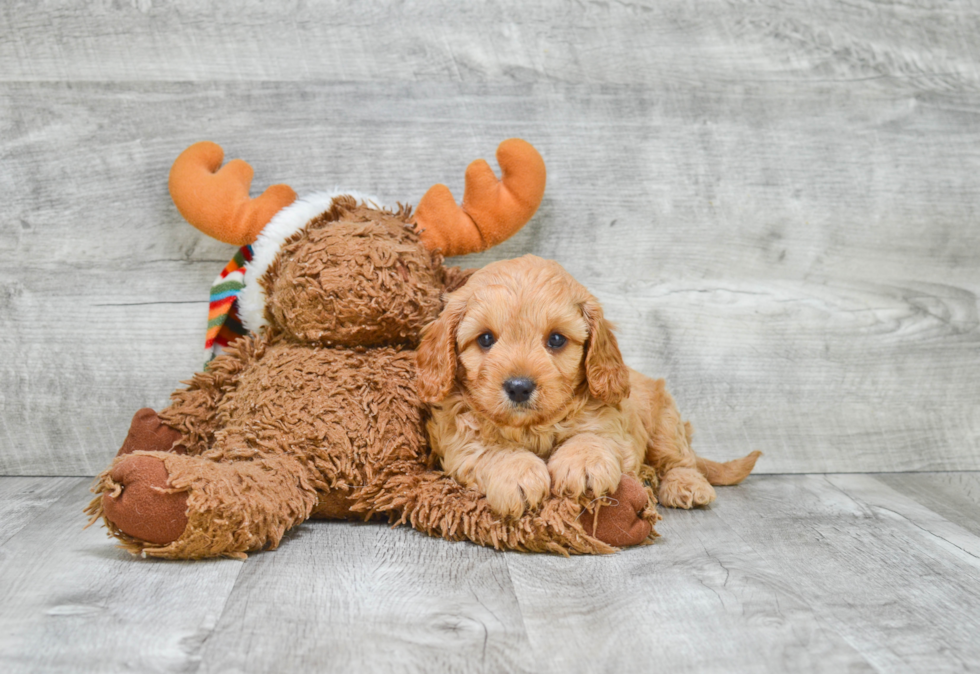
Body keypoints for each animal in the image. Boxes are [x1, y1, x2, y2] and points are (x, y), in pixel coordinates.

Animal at [414, 255, 756, 516]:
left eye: (556, 339)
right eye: (485, 339)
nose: (519, 387)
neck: (532, 428)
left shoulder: (614, 423)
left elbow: (592, 436)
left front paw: (583, 463)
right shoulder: (459, 441)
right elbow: (491, 451)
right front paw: (516, 473)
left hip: (665, 422)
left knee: (680, 459)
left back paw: (686, 484)